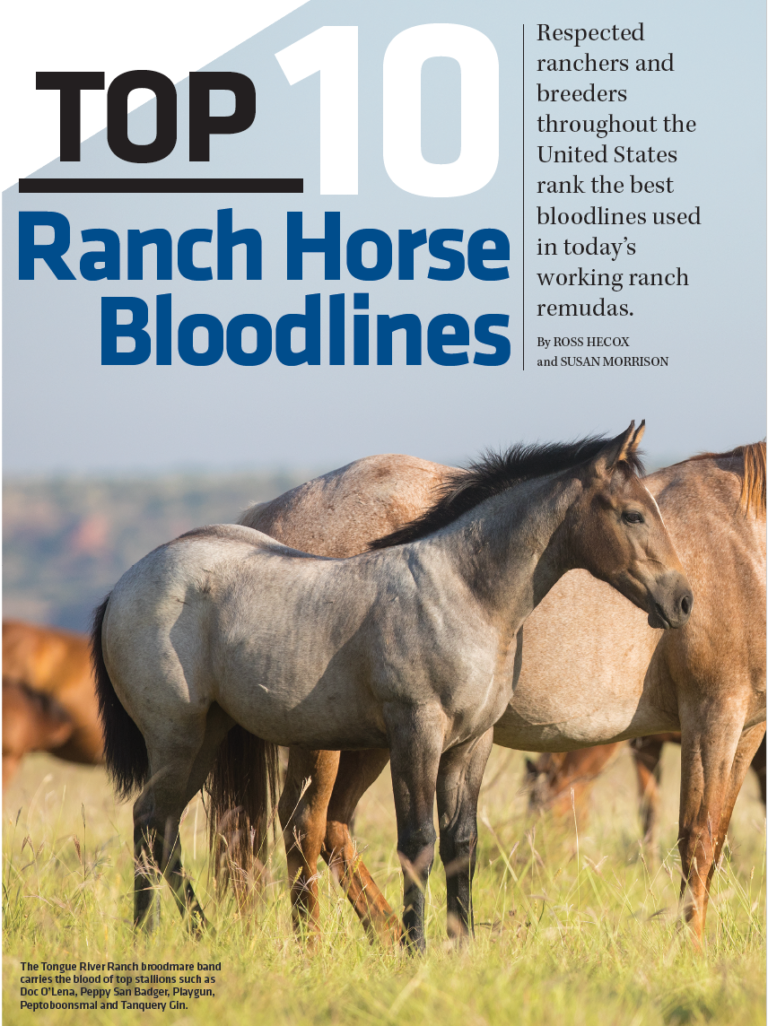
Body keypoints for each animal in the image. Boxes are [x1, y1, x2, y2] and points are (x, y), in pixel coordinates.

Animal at [93, 423, 692, 950]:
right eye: (633, 514)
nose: (682, 600)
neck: (463, 593)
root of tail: (124, 583)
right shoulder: (416, 732)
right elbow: (418, 842)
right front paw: (416, 947)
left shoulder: (471, 744)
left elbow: (461, 843)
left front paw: (461, 946)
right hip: (176, 736)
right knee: (150, 821)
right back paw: (147, 938)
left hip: (208, 736)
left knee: (163, 827)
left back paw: (200, 934)